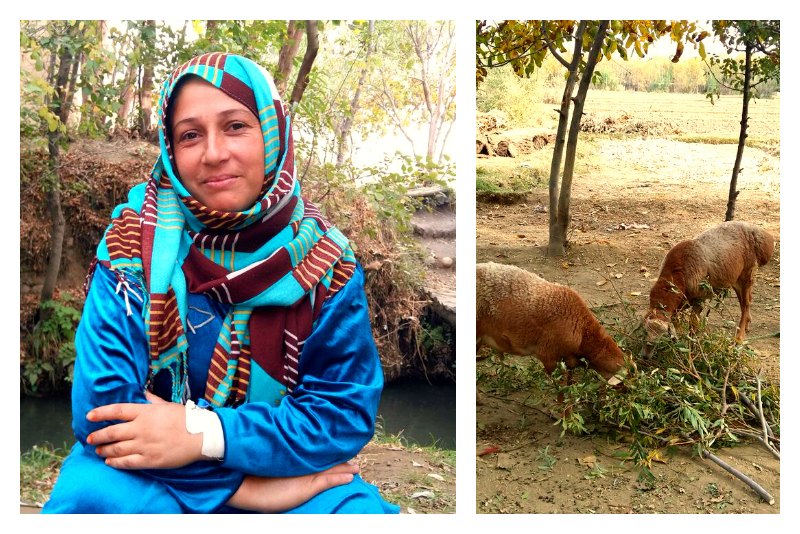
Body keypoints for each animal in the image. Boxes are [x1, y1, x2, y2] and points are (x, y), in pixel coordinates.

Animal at [644, 220, 776, 358]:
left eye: (661, 336)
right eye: (644, 332)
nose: (645, 356)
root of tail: (767, 238)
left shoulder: (700, 297)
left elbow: (693, 323)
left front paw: (691, 346)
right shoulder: (682, 302)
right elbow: (676, 320)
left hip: (748, 273)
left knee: (746, 304)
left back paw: (738, 340)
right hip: (735, 278)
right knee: (746, 300)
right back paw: (747, 326)